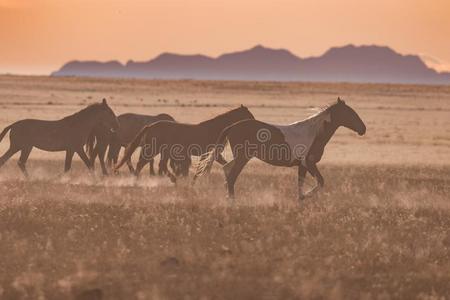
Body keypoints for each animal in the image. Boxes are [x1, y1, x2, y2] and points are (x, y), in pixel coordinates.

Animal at [114, 104, 255, 182]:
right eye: (248, 114)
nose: (254, 122)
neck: (215, 129)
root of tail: (150, 126)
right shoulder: (210, 154)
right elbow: (206, 167)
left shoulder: (210, 155)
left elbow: (207, 167)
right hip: (152, 150)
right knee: (142, 163)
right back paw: (136, 180)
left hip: (163, 151)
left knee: (160, 165)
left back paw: (172, 179)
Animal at [195, 99, 368, 202]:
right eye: (350, 113)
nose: (363, 129)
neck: (314, 133)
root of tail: (232, 126)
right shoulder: (309, 163)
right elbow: (320, 182)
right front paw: (306, 196)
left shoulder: (302, 166)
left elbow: (300, 184)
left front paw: (301, 200)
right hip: (243, 157)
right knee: (231, 177)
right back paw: (232, 203)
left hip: (240, 157)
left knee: (226, 170)